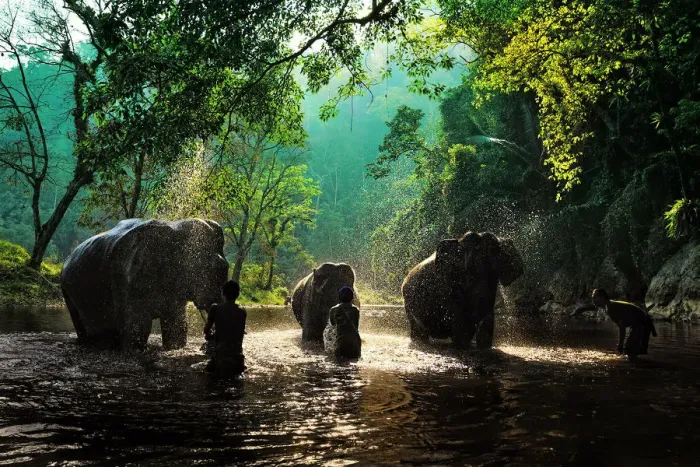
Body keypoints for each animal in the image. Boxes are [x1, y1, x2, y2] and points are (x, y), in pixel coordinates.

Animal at [60, 218, 229, 350]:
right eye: (215, 268)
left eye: (225, 268)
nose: (208, 340)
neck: (174, 228)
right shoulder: (126, 277)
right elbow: (137, 325)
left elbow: (177, 325)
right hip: (67, 289)